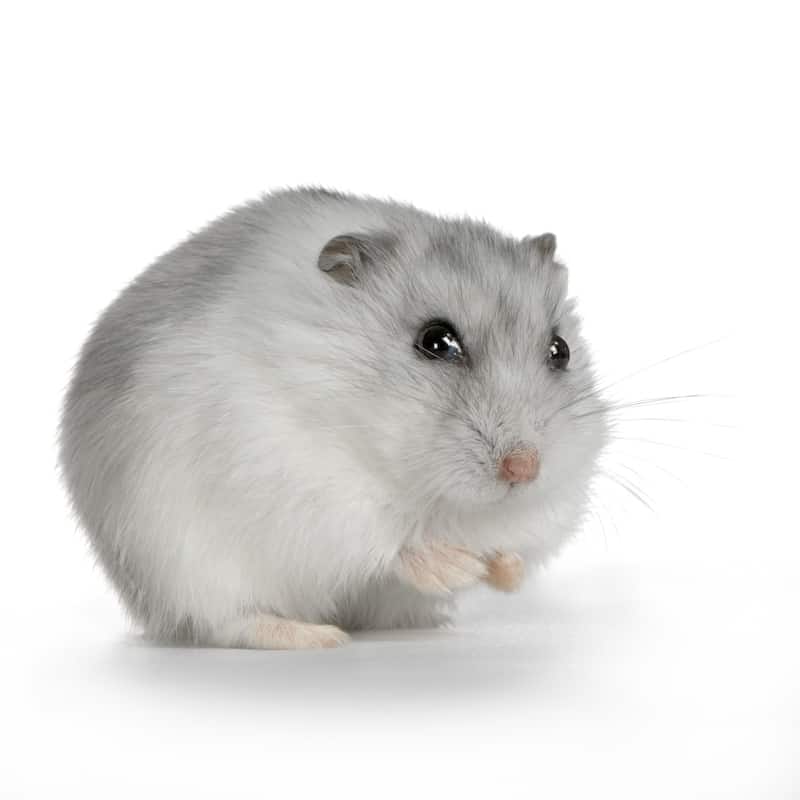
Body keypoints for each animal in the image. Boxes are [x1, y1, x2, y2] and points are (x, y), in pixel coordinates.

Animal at [59, 188, 609, 649]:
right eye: (435, 341)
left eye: (559, 350)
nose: (524, 469)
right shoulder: (299, 479)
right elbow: (388, 537)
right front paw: (456, 566)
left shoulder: (560, 492)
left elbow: (524, 537)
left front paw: (498, 567)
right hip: (184, 568)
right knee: (228, 622)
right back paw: (319, 636)